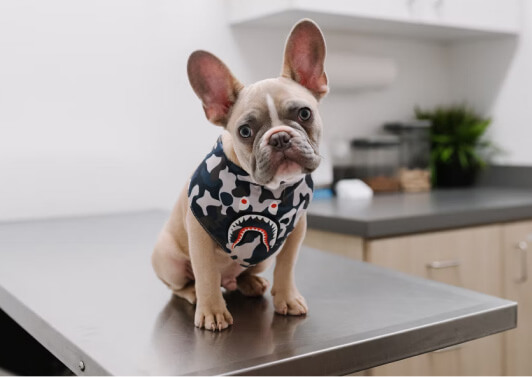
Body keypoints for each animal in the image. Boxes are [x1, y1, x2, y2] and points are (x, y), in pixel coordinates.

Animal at [151, 19, 328, 330]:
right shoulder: (199, 235)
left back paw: (251, 283)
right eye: (245, 131)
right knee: (182, 285)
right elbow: (206, 274)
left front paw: (287, 298)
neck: (268, 192)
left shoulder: (296, 232)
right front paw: (212, 311)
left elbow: (287, 266)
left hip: (261, 259)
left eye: (305, 114)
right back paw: (193, 294)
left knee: (244, 274)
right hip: (168, 259)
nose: (279, 137)